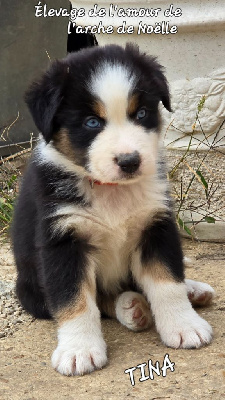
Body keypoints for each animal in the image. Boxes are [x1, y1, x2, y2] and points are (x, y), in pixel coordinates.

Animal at [12, 43, 214, 376]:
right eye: (92, 122)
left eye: (142, 113)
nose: (130, 161)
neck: (112, 191)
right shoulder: (62, 240)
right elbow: (75, 300)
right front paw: (79, 350)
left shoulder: (155, 225)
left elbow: (167, 280)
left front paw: (184, 325)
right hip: (30, 289)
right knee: (101, 299)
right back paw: (131, 307)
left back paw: (192, 290)